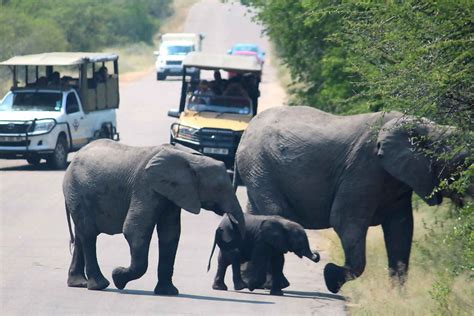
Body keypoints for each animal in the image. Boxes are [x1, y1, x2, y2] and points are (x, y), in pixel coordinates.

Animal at [63, 139, 244, 296]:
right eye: (219, 188)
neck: (191, 158)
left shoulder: (173, 194)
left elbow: (170, 235)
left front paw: (169, 292)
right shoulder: (145, 186)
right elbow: (134, 230)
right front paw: (118, 277)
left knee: (81, 235)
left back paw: (79, 283)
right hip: (76, 191)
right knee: (88, 234)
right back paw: (100, 285)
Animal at [235, 106, 468, 294]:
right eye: (461, 164)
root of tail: (246, 131)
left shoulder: (397, 181)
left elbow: (401, 229)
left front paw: (398, 298)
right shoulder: (364, 168)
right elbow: (345, 221)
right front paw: (331, 278)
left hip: (258, 171)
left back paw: (255, 283)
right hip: (260, 167)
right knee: (276, 213)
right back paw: (270, 285)